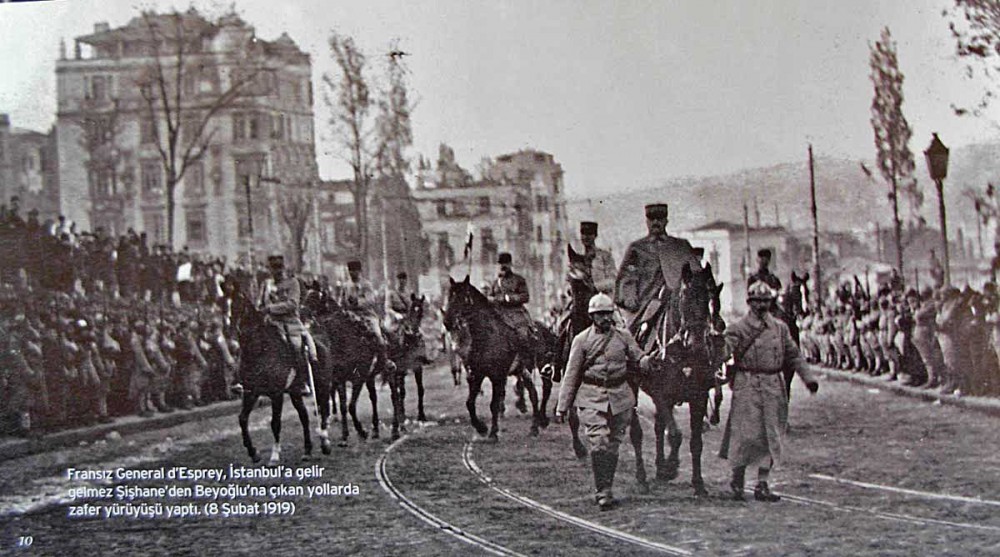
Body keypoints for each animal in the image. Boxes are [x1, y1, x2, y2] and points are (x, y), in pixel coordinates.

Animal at [225, 278, 314, 464]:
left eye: (239, 305)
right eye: (227, 308)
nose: (232, 342)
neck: (259, 352)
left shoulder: (276, 394)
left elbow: (275, 423)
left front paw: (274, 456)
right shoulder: (251, 392)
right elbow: (242, 419)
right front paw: (253, 452)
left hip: (294, 390)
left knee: (303, 416)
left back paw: (308, 450)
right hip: (293, 392)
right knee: (303, 415)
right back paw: (307, 450)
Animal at [446, 276, 548, 438]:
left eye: (463, 297)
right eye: (450, 296)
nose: (447, 321)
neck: (486, 336)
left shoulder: (497, 376)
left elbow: (494, 404)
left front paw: (493, 432)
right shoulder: (477, 374)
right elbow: (469, 402)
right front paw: (481, 428)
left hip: (535, 366)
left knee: (538, 392)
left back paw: (537, 424)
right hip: (522, 370)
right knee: (533, 393)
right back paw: (534, 426)